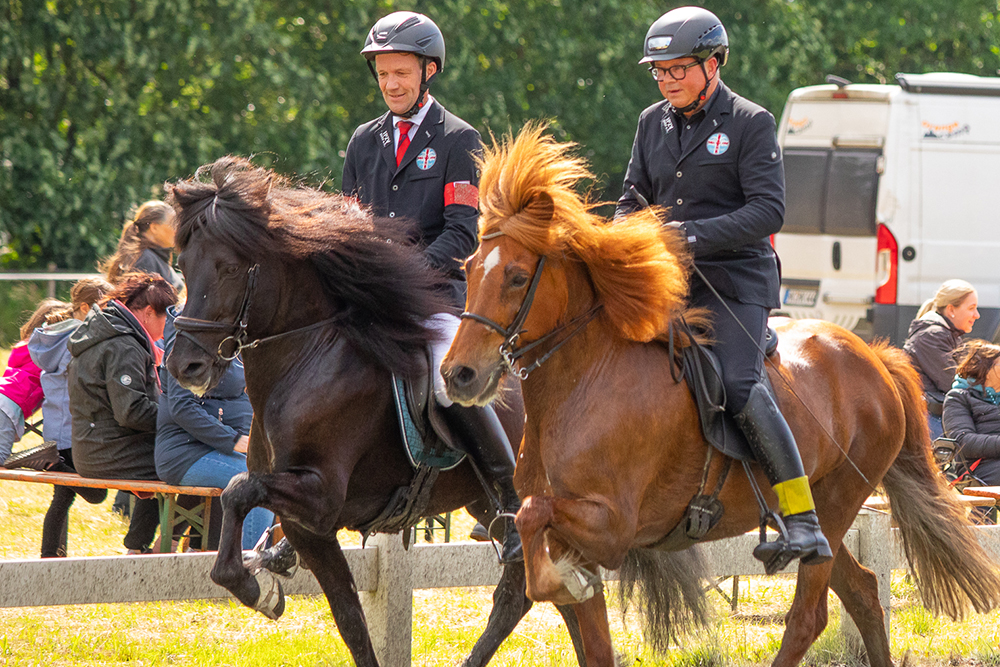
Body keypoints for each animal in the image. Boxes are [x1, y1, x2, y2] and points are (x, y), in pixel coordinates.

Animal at [163, 158, 584, 667]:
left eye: (228, 268)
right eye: (183, 265)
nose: (184, 366)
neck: (307, 356)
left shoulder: (321, 497)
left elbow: (237, 491)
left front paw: (255, 586)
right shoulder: (309, 529)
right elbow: (350, 620)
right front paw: (262, 582)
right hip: (485, 501)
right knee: (533, 596)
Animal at [442, 124, 1000, 664]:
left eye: (517, 277)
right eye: (467, 268)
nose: (458, 374)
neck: (581, 384)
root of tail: (875, 355)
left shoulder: (612, 527)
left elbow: (535, 521)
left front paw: (561, 580)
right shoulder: (574, 532)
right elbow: (586, 631)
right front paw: (563, 581)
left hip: (837, 502)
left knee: (809, 616)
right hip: (827, 516)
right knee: (862, 592)